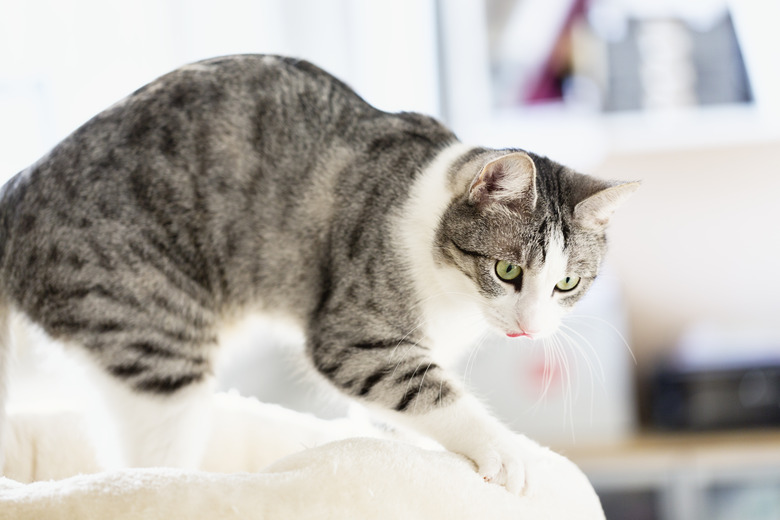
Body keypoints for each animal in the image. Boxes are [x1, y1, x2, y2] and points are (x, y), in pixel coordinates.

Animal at [0, 54, 636, 494]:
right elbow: (430, 392)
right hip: (156, 339)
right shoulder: (357, 338)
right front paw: (505, 453)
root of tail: (17, 191)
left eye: (567, 284)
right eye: (507, 270)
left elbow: (394, 417)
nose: (530, 327)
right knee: (147, 464)